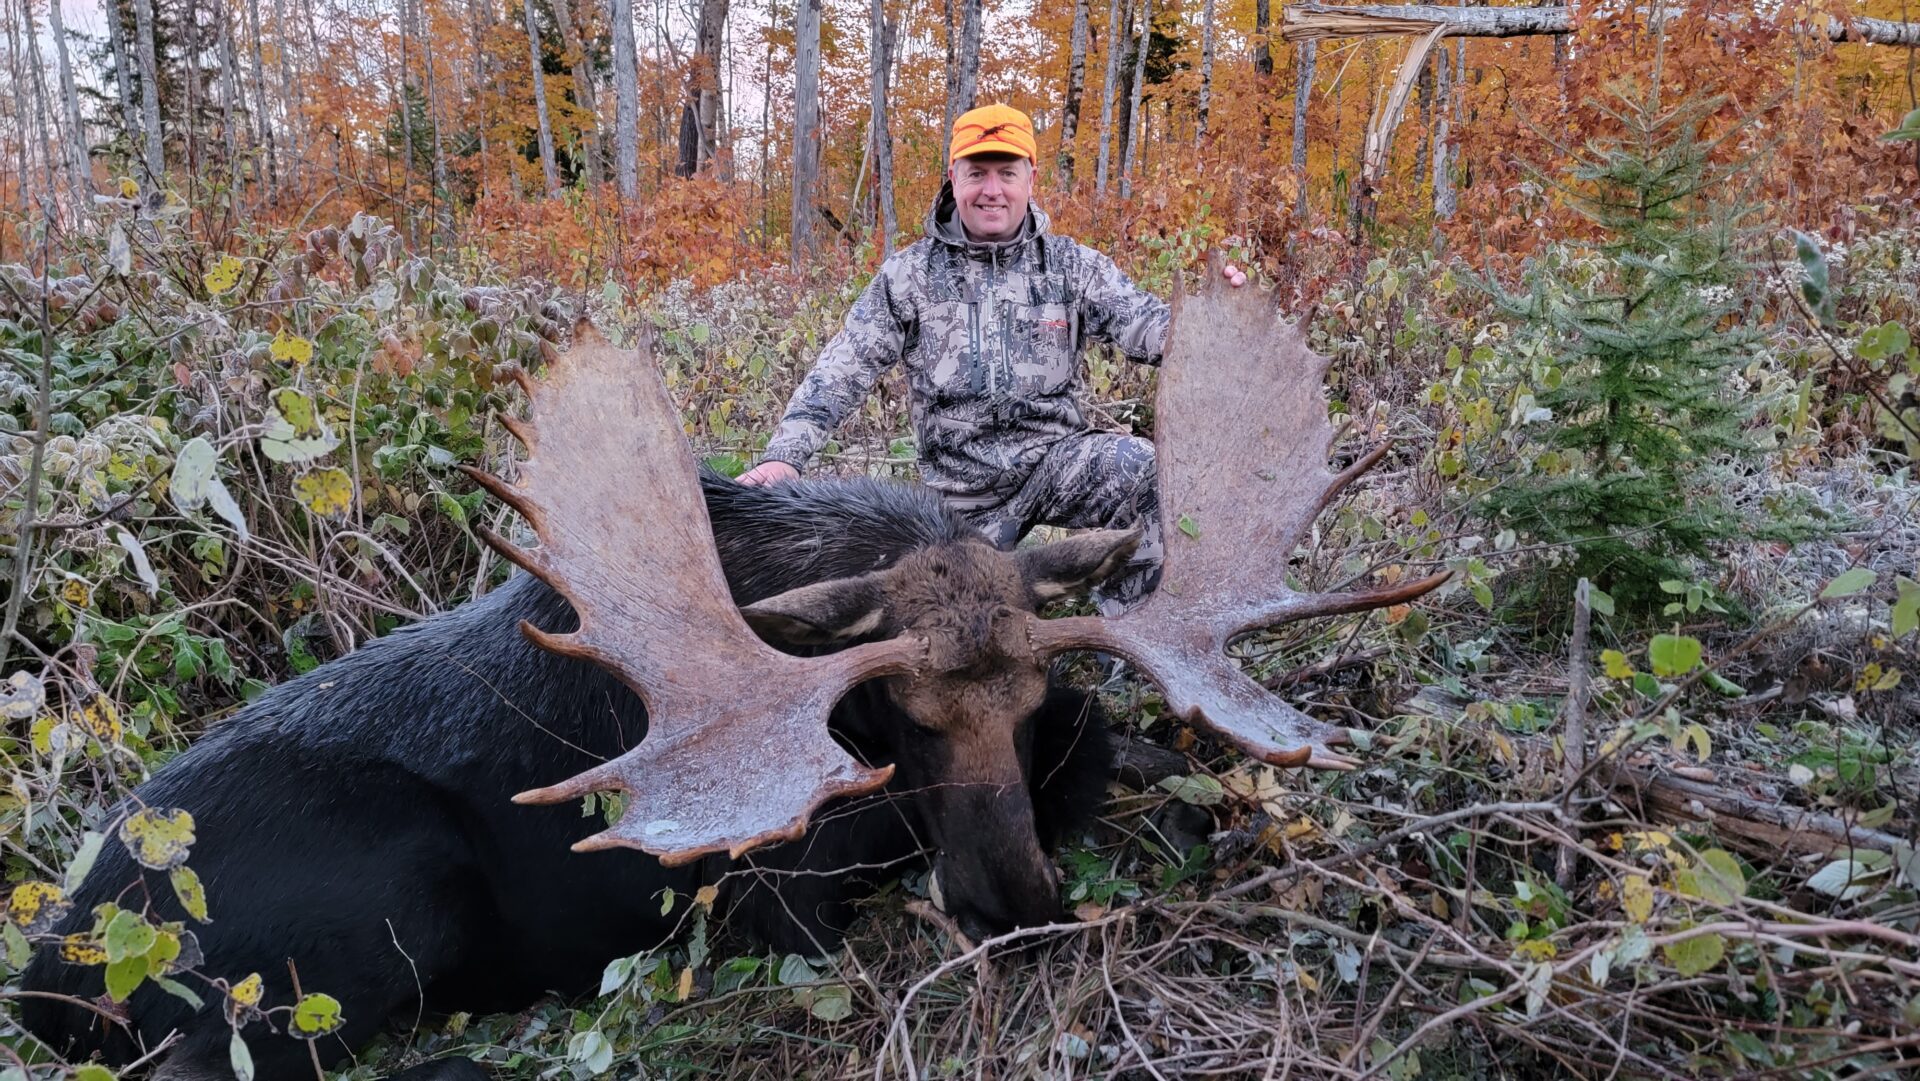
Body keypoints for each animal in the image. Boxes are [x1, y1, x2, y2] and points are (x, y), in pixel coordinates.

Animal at [22, 264, 1443, 1081]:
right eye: (904, 719)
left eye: (1030, 700)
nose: (1019, 901)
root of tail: (46, 970)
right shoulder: (779, 897)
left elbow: (1137, 750)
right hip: (378, 904)